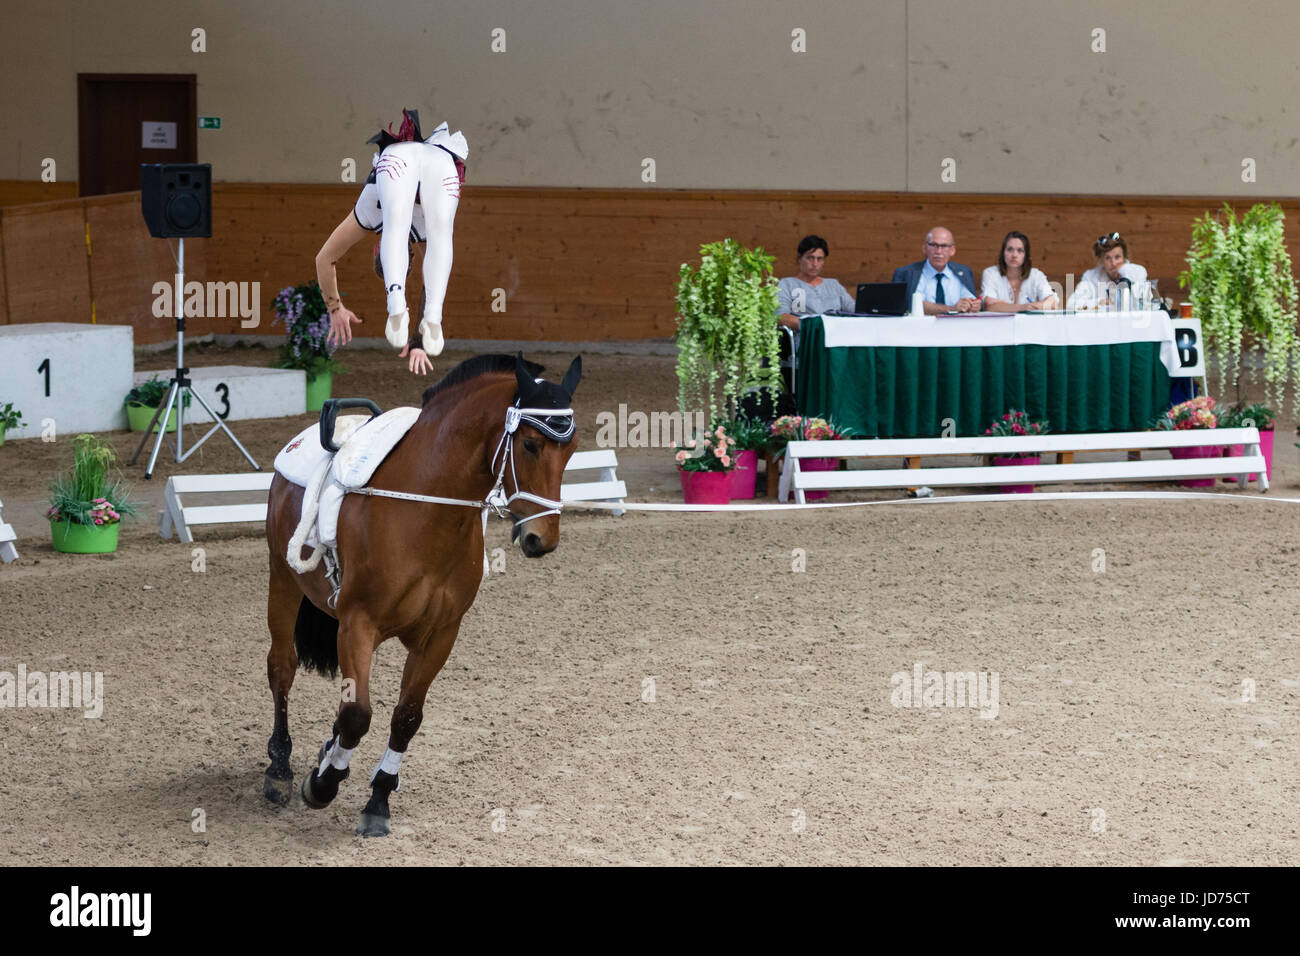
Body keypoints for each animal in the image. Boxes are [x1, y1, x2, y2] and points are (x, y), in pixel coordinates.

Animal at [261, 353, 582, 837]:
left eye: (572, 448)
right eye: (529, 445)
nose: (541, 539)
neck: (427, 507)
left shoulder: (441, 633)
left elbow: (406, 715)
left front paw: (377, 800)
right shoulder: (358, 623)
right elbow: (358, 715)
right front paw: (321, 785)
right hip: (282, 579)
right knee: (282, 667)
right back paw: (279, 769)